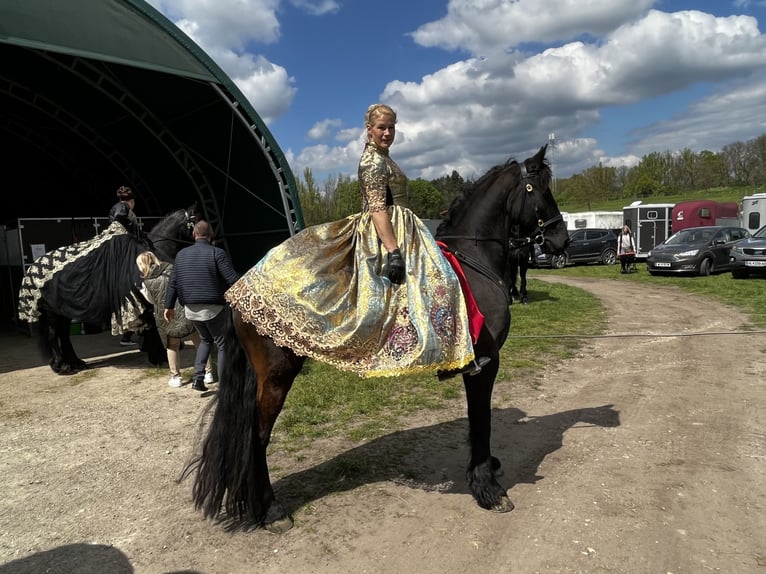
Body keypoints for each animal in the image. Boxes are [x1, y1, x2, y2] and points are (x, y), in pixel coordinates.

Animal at [17, 206, 200, 375]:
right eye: (196, 222)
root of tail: (32, 268)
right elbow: (153, 328)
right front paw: (158, 356)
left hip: (63, 313)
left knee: (63, 335)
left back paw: (75, 362)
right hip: (52, 313)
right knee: (53, 335)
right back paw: (62, 366)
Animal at [186, 144, 569, 532]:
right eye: (542, 191)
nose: (561, 240)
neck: (475, 259)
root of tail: (238, 290)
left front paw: (486, 469)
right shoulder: (485, 363)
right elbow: (481, 419)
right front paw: (487, 487)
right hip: (278, 376)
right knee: (257, 436)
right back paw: (272, 511)